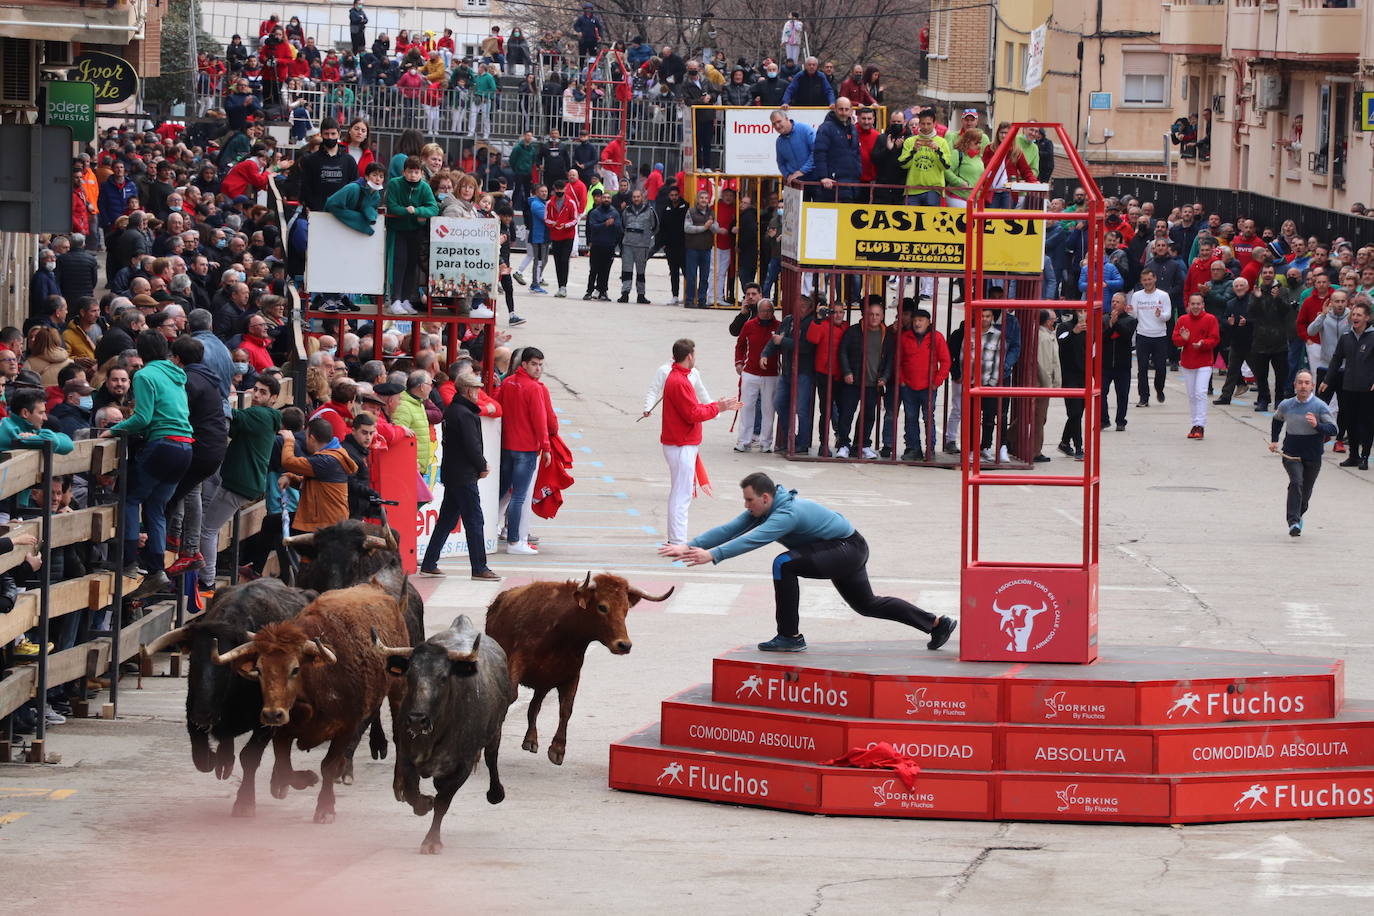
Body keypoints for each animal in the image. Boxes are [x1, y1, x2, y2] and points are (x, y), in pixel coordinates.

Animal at [211, 579, 406, 823]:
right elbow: (283, 768)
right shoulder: (282, 731)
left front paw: (325, 807)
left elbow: (328, 766)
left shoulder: (346, 727)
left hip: (397, 691)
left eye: (295, 669)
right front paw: (298, 781)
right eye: (259, 669)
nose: (272, 714)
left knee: (398, 733)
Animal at [486, 574, 673, 769]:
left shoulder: (571, 675)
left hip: (544, 683)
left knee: (535, 706)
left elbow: (566, 709)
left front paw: (558, 749)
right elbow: (510, 697)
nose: (624, 645)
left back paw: (531, 740)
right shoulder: (518, 663)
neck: (561, 632)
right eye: (602, 607)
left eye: (625, 609)